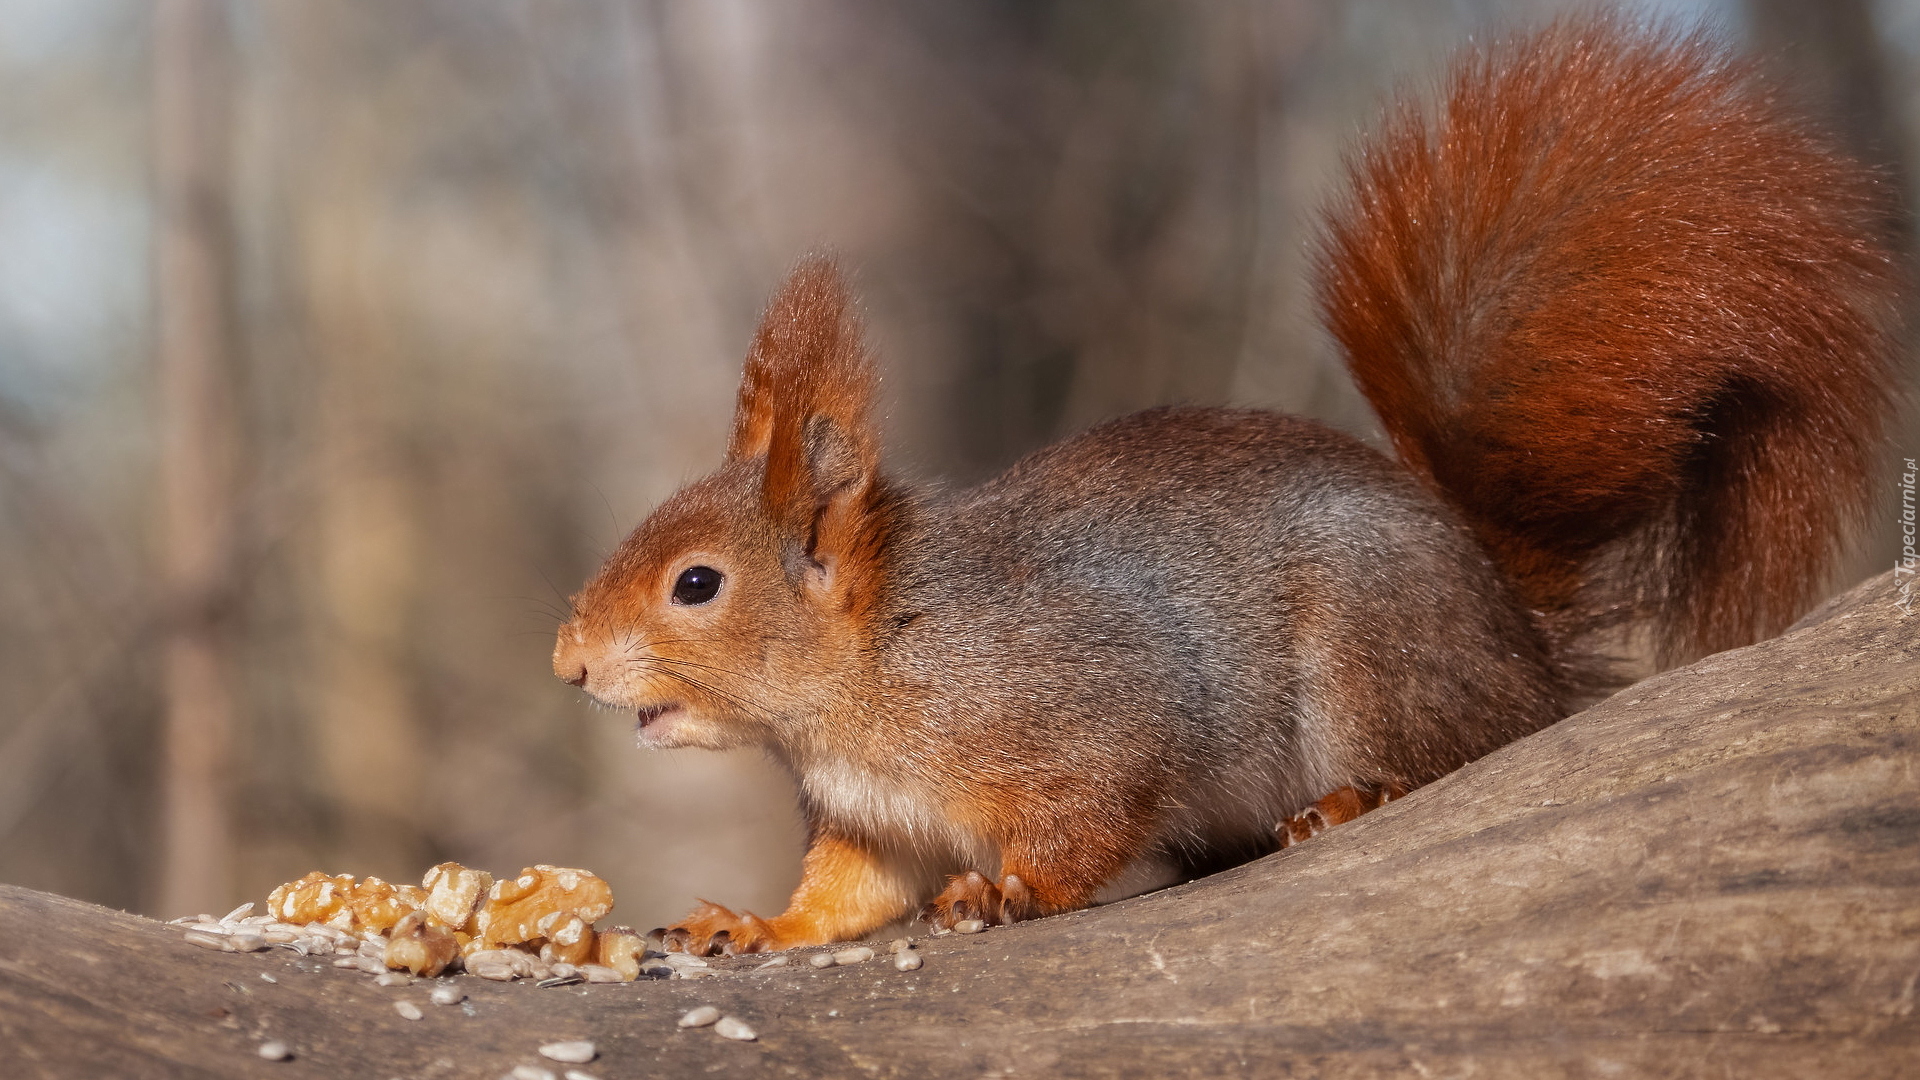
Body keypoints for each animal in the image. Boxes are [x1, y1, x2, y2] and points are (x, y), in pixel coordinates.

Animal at [552, 12, 1904, 945]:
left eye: (696, 585)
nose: (568, 665)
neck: (873, 666)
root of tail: (1514, 634)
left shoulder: (1087, 713)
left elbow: (1092, 815)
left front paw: (1009, 891)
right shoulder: (872, 820)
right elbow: (848, 898)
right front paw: (749, 924)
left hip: (1374, 656)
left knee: (1453, 754)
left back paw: (1349, 805)